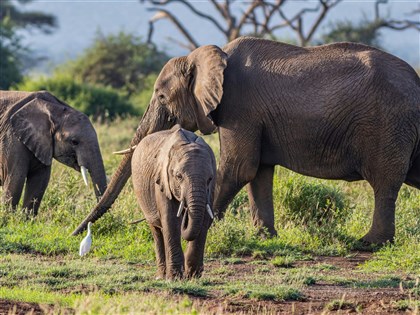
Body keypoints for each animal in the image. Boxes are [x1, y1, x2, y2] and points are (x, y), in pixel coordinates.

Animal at [74, 36, 420, 244]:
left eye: (160, 96)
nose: (76, 232)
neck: (207, 55)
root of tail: (417, 82)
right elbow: (258, 172)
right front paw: (264, 237)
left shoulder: (241, 107)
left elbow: (238, 168)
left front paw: (202, 230)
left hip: (389, 124)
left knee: (384, 183)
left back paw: (369, 243)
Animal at [131, 124, 217, 280]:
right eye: (178, 176)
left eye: (209, 178)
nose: (185, 216)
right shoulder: (162, 180)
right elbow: (170, 220)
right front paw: (175, 278)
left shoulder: (211, 188)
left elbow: (205, 218)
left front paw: (193, 276)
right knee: (156, 230)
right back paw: (161, 275)